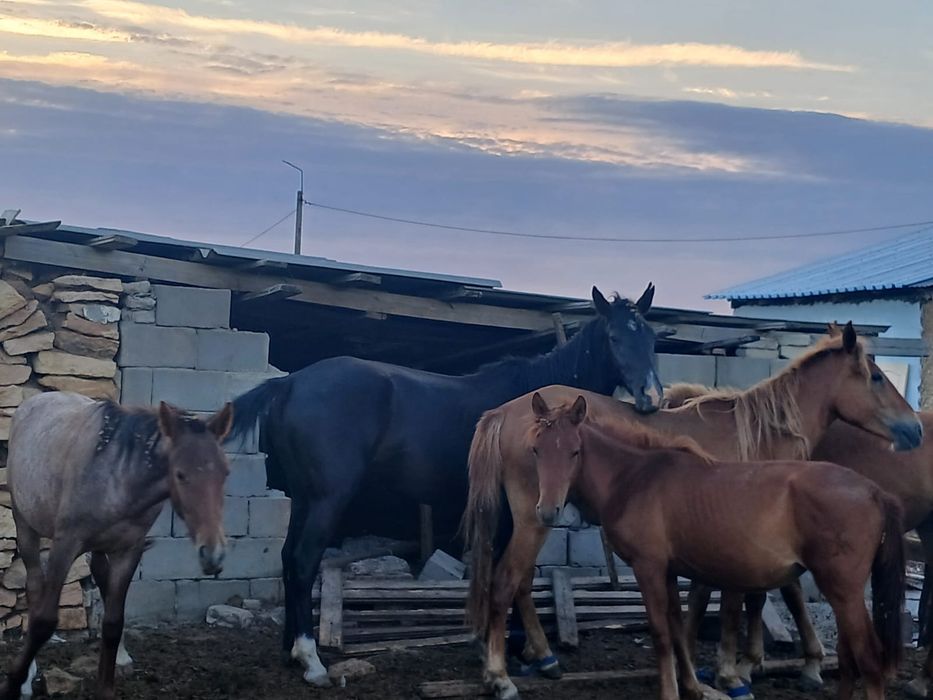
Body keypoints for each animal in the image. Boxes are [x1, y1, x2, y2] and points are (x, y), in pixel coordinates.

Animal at [0, 392, 233, 700]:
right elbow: (43, 621)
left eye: (225, 473)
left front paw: (106, 687)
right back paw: (27, 681)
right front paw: (12, 685)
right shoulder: (66, 544)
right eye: (180, 474)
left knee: (101, 578)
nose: (213, 554)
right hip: (25, 524)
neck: (119, 478)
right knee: (34, 587)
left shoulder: (128, 551)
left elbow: (113, 622)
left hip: (99, 547)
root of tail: (32, 402)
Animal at [224, 284, 664, 685]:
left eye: (651, 337)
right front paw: (517, 650)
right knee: (302, 562)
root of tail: (289, 384)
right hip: (325, 501)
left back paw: (290, 652)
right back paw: (311, 660)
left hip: (304, 500)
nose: (652, 398)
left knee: (288, 559)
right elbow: (510, 574)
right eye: (614, 337)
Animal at [463, 322, 921, 698]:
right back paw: (500, 675)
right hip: (533, 518)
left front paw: (723, 670)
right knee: (506, 581)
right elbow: (745, 599)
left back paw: (539, 657)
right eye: (877, 377)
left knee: (518, 581)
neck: (759, 432)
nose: (915, 429)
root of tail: (504, 410)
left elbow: (717, 601)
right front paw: (736, 671)